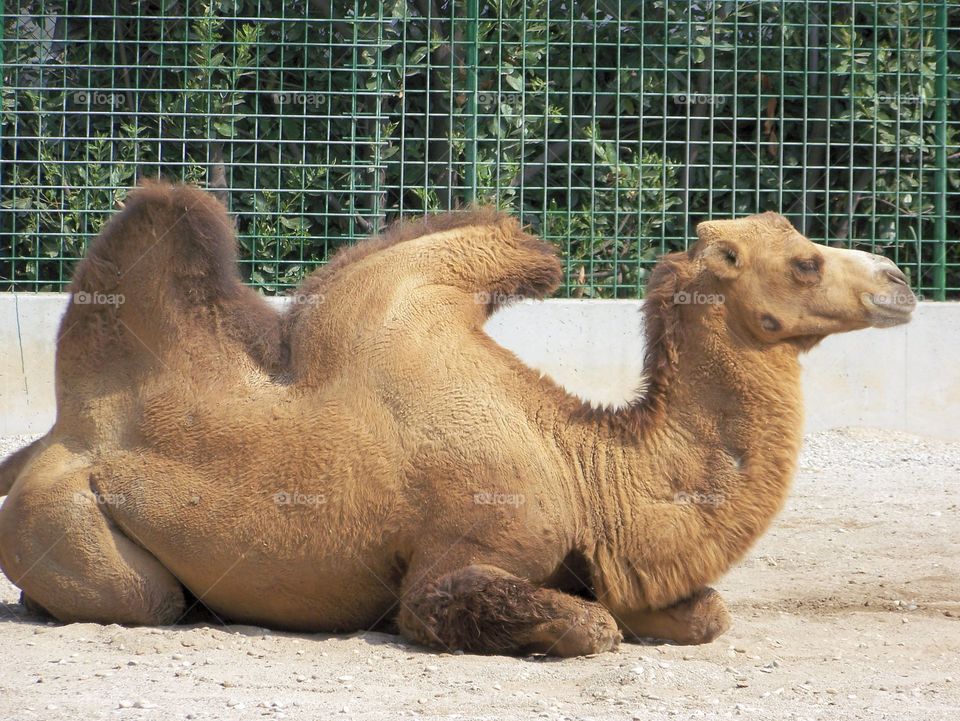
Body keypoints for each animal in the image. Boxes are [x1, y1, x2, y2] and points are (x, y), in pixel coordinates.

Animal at [0, 183, 920, 656]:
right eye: (804, 262)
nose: (900, 279)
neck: (578, 464)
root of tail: (48, 441)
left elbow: (705, 610)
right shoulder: (452, 562)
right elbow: (581, 624)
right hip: (76, 527)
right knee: (149, 598)